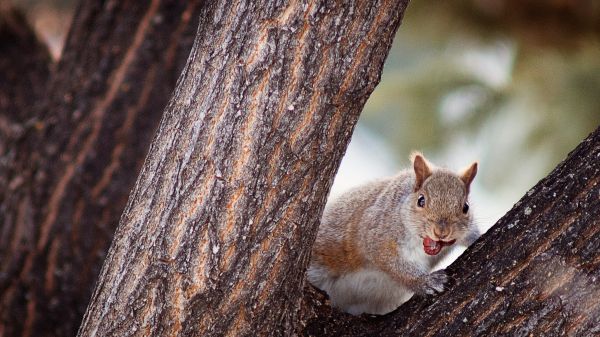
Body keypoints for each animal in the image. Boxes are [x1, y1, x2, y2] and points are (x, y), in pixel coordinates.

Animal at [308, 152, 480, 316]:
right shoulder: (377, 235)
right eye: (421, 200)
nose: (441, 232)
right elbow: (393, 265)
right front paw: (425, 281)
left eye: (466, 207)